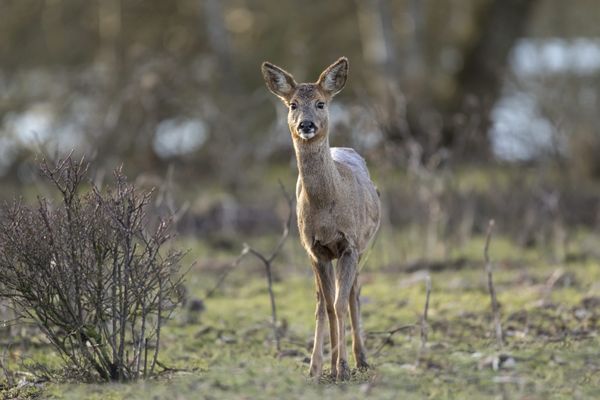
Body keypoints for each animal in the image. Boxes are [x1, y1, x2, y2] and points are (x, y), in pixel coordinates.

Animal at [262, 57, 380, 382]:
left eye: (320, 103)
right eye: (292, 104)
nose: (306, 124)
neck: (328, 208)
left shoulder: (350, 244)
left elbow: (339, 303)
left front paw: (342, 368)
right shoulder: (315, 250)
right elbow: (327, 305)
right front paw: (329, 367)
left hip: (364, 246)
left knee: (353, 294)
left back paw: (361, 359)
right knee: (321, 301)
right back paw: (316, 366)